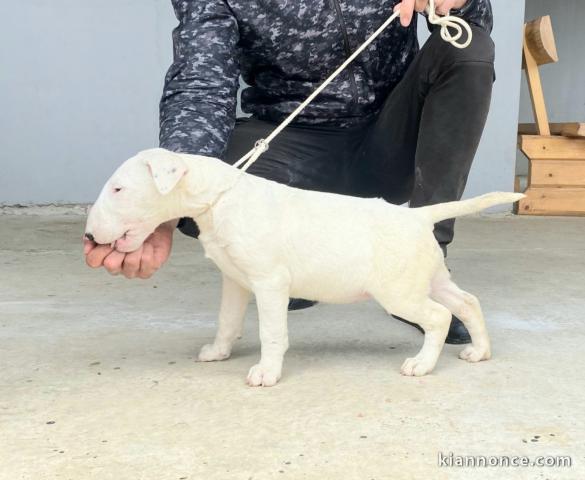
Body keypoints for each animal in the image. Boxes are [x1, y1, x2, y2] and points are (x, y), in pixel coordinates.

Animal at [86, 148, 524, 388]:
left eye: (119, 189)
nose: (89, 235)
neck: (219, 199)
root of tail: (418, 216)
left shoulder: (269, 284)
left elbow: (271, 332)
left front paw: (266, 372)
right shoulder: (235, 281)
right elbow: (227, 321)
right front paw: (218, 352)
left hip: (399, 291)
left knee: (438, 317)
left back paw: (421, 364)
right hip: (426, 278)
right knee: (467, 302)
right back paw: (479, 351)